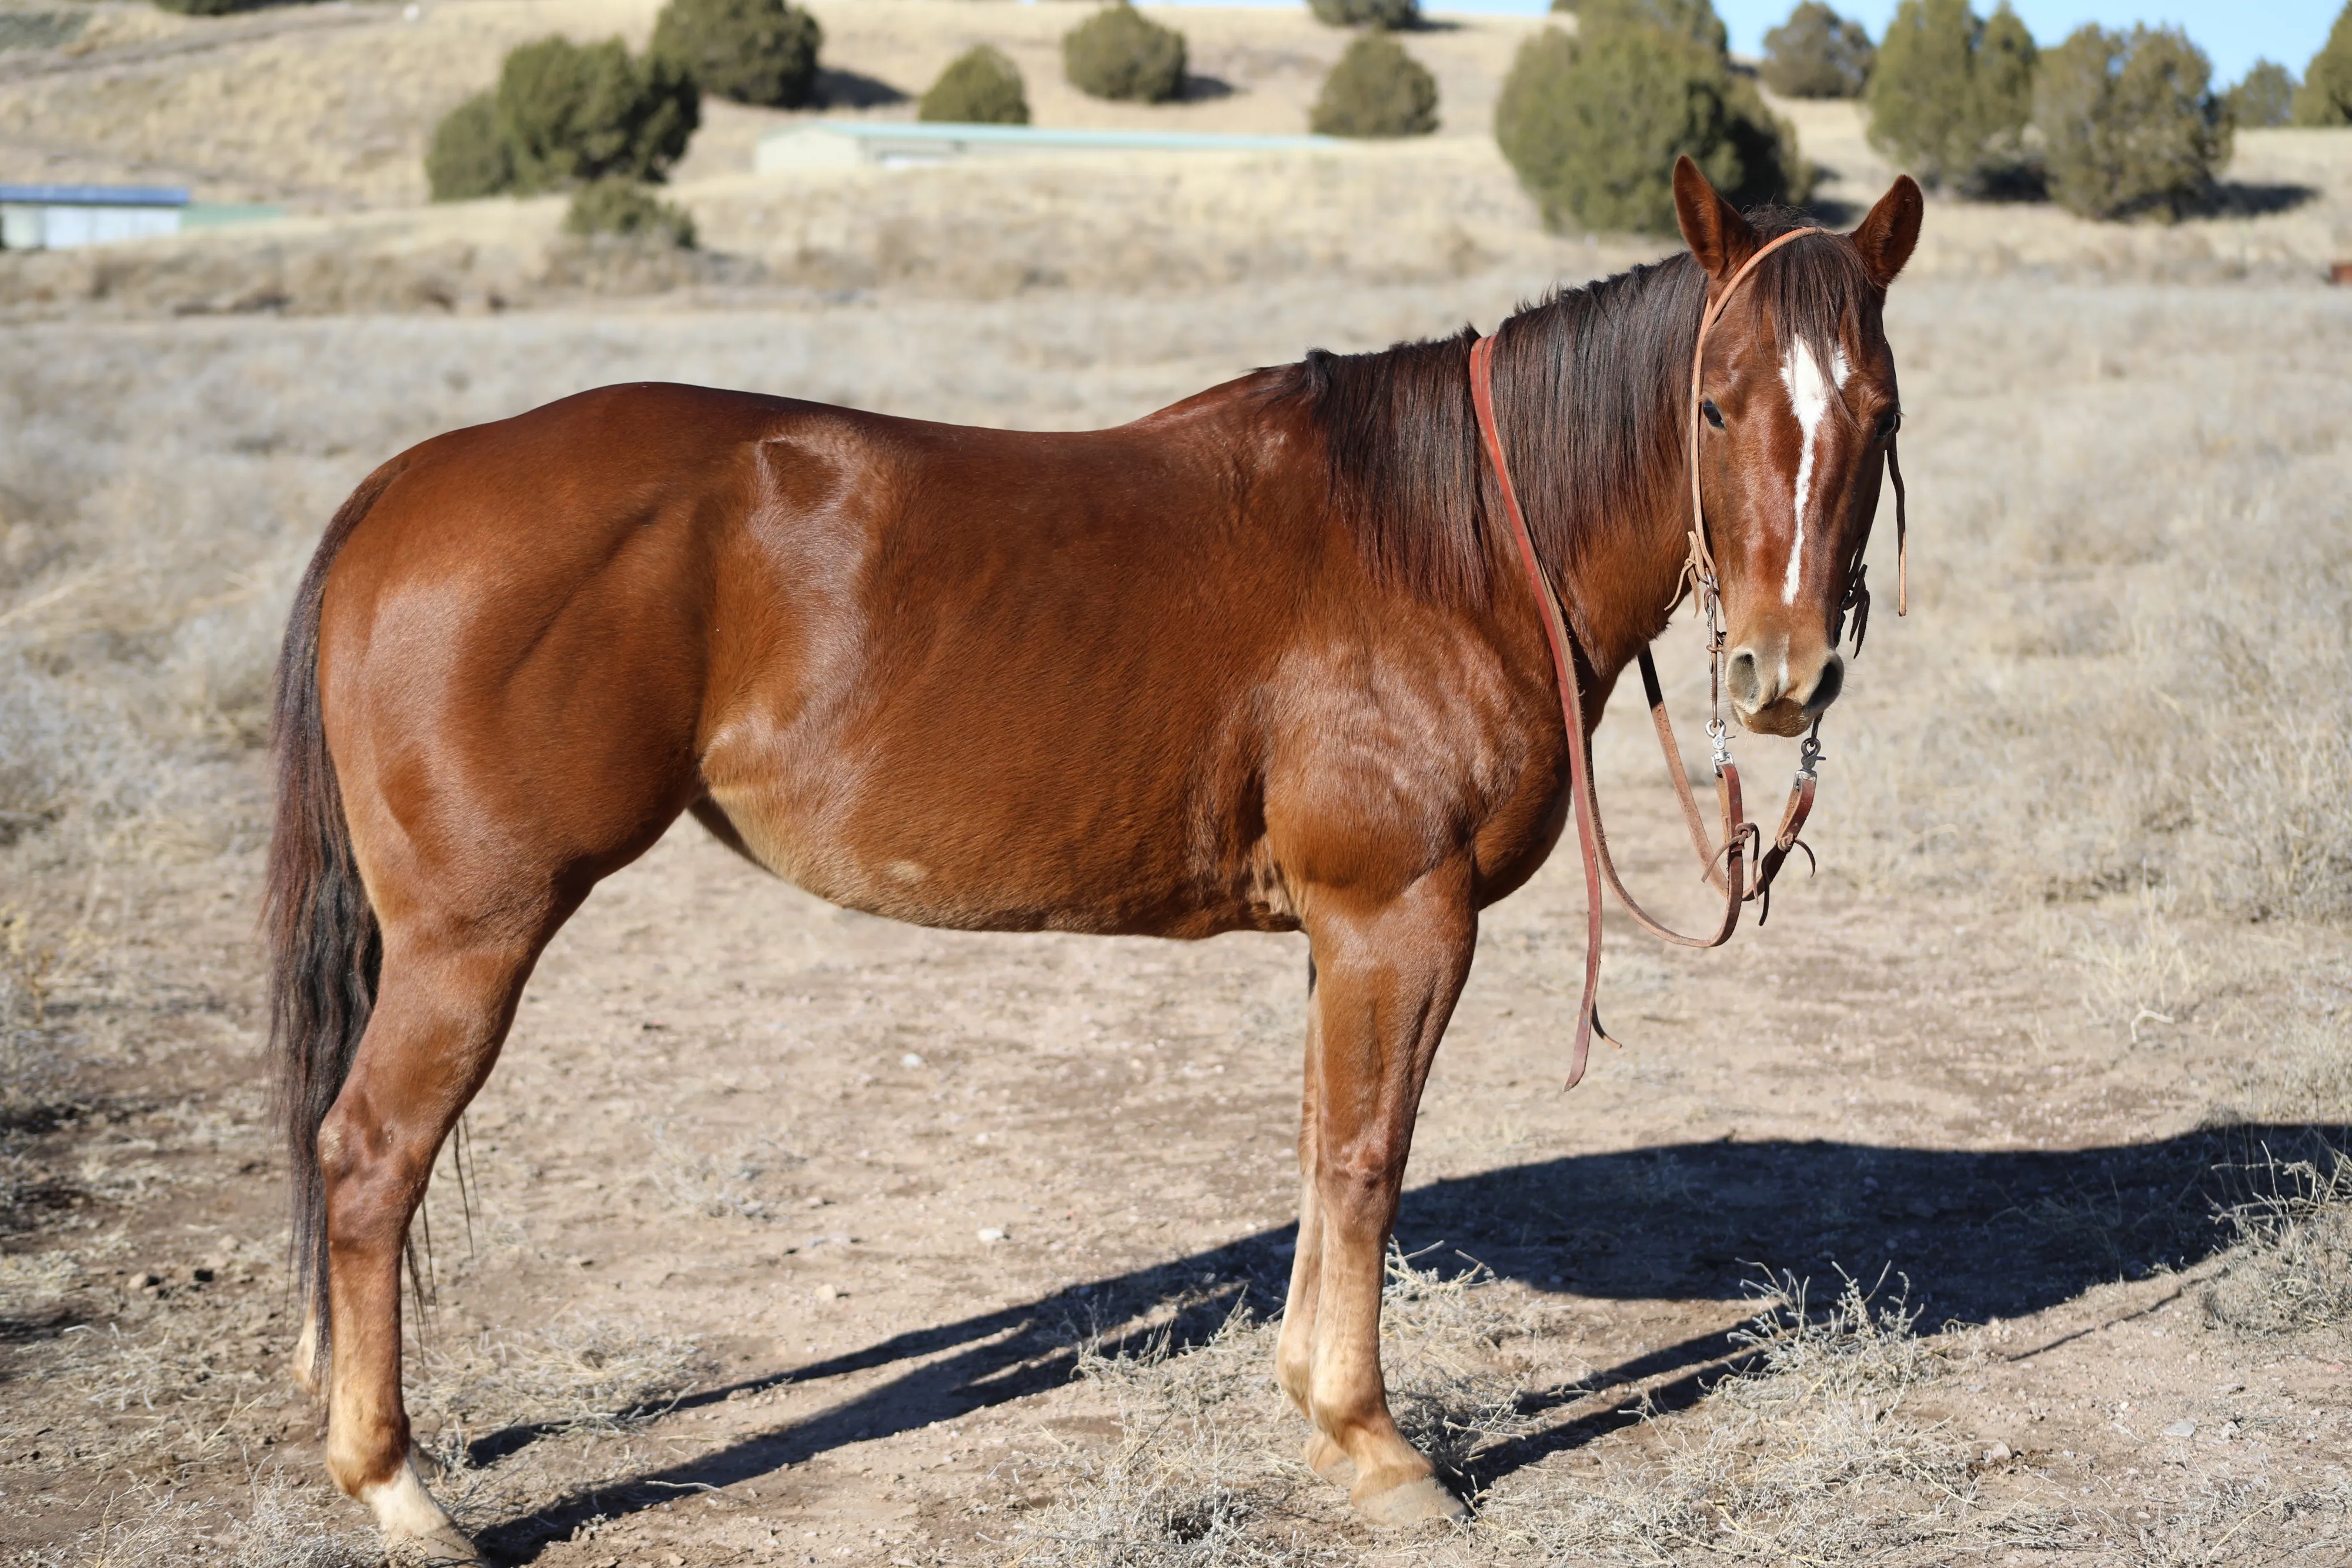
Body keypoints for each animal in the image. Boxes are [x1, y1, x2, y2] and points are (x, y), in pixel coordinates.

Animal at [264, 159, 1921, 1558]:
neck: (1444, 543)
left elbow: (1320, 1148)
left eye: (1879, 413)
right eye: (1712, 407)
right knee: (369, 1160)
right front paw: (1375, 1442)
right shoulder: (1401, 918)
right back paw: (397, 1487)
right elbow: (1366, 1159)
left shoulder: (1344, 937)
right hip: (474, 935)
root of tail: (408, 485)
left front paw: (1314, 1409)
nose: (1779, 676)